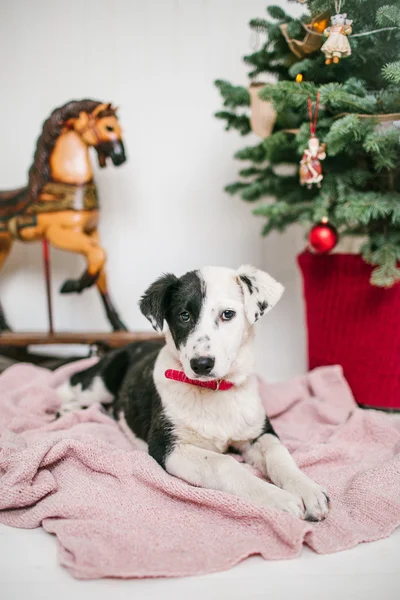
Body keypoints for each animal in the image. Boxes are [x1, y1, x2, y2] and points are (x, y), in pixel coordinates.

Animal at [58, 266, 328, 520]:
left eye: (228, 314)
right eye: (184, 315)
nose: (201, 364)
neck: (214, 390)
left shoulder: (258, 432)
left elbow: (278, 454)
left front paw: (308, 490)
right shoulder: (166, 446)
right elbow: (223, 463)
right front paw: (278, 499)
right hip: (100, 383)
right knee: (73, 381)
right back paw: (67, 408)